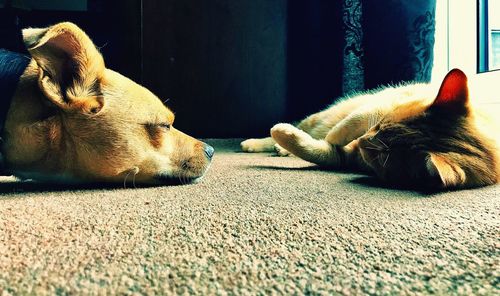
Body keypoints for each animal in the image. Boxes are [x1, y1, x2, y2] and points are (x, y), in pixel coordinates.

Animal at [241, 69, 496, 190]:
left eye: (383, 157)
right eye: (381, 124)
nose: (361, 140)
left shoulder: (344, 157)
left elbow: (320, 150)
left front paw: (295, 143)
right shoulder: (378, 108)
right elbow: (347, 126)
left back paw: (282, 149)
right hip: (320, 117)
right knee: (301, 128)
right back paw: (256, 143)